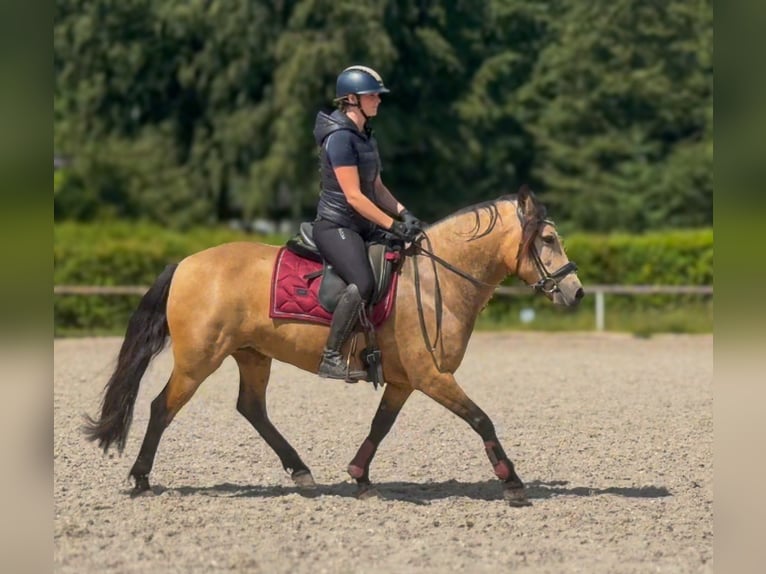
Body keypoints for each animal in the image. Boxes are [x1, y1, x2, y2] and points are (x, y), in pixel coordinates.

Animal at [83, 185, 583, 507]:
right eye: (547, 239)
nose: (575, 292)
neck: (432, 280)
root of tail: (186, 263)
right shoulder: (432, 376)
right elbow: (481, 419)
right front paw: (513, 483)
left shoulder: (405, 381)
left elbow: (381, 426)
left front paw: (360, 477)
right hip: (198, 360)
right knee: (161, 408)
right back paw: (141, 478)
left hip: (252, 355)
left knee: (252, 409)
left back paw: (301, 472)